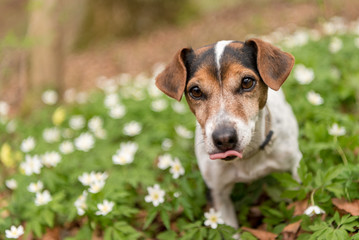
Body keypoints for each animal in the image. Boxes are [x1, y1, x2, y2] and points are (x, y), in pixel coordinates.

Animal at [156, 39, 302, 229]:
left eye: (247, 82)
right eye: (195, 91)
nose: (224, 138)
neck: (247, 157)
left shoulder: (294, 167)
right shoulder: (217, 193)